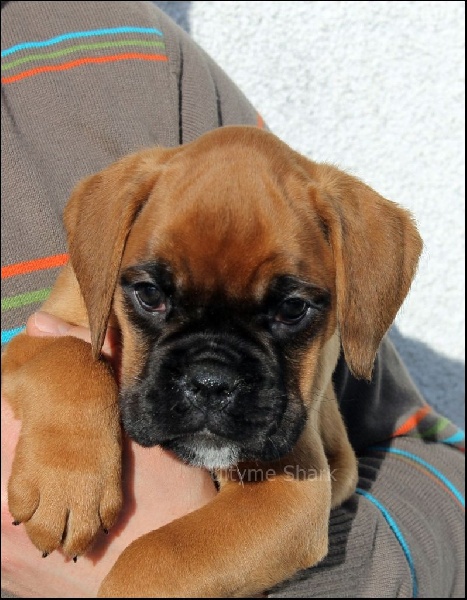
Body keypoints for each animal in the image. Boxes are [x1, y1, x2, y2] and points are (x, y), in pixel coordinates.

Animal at [2, 126, 423, 597]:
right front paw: (69, 483)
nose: (210, 382)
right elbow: (70, 353)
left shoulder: (289, 489)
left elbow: (159, 556)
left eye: (292, 308)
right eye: (150, 294)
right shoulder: (34, 338)